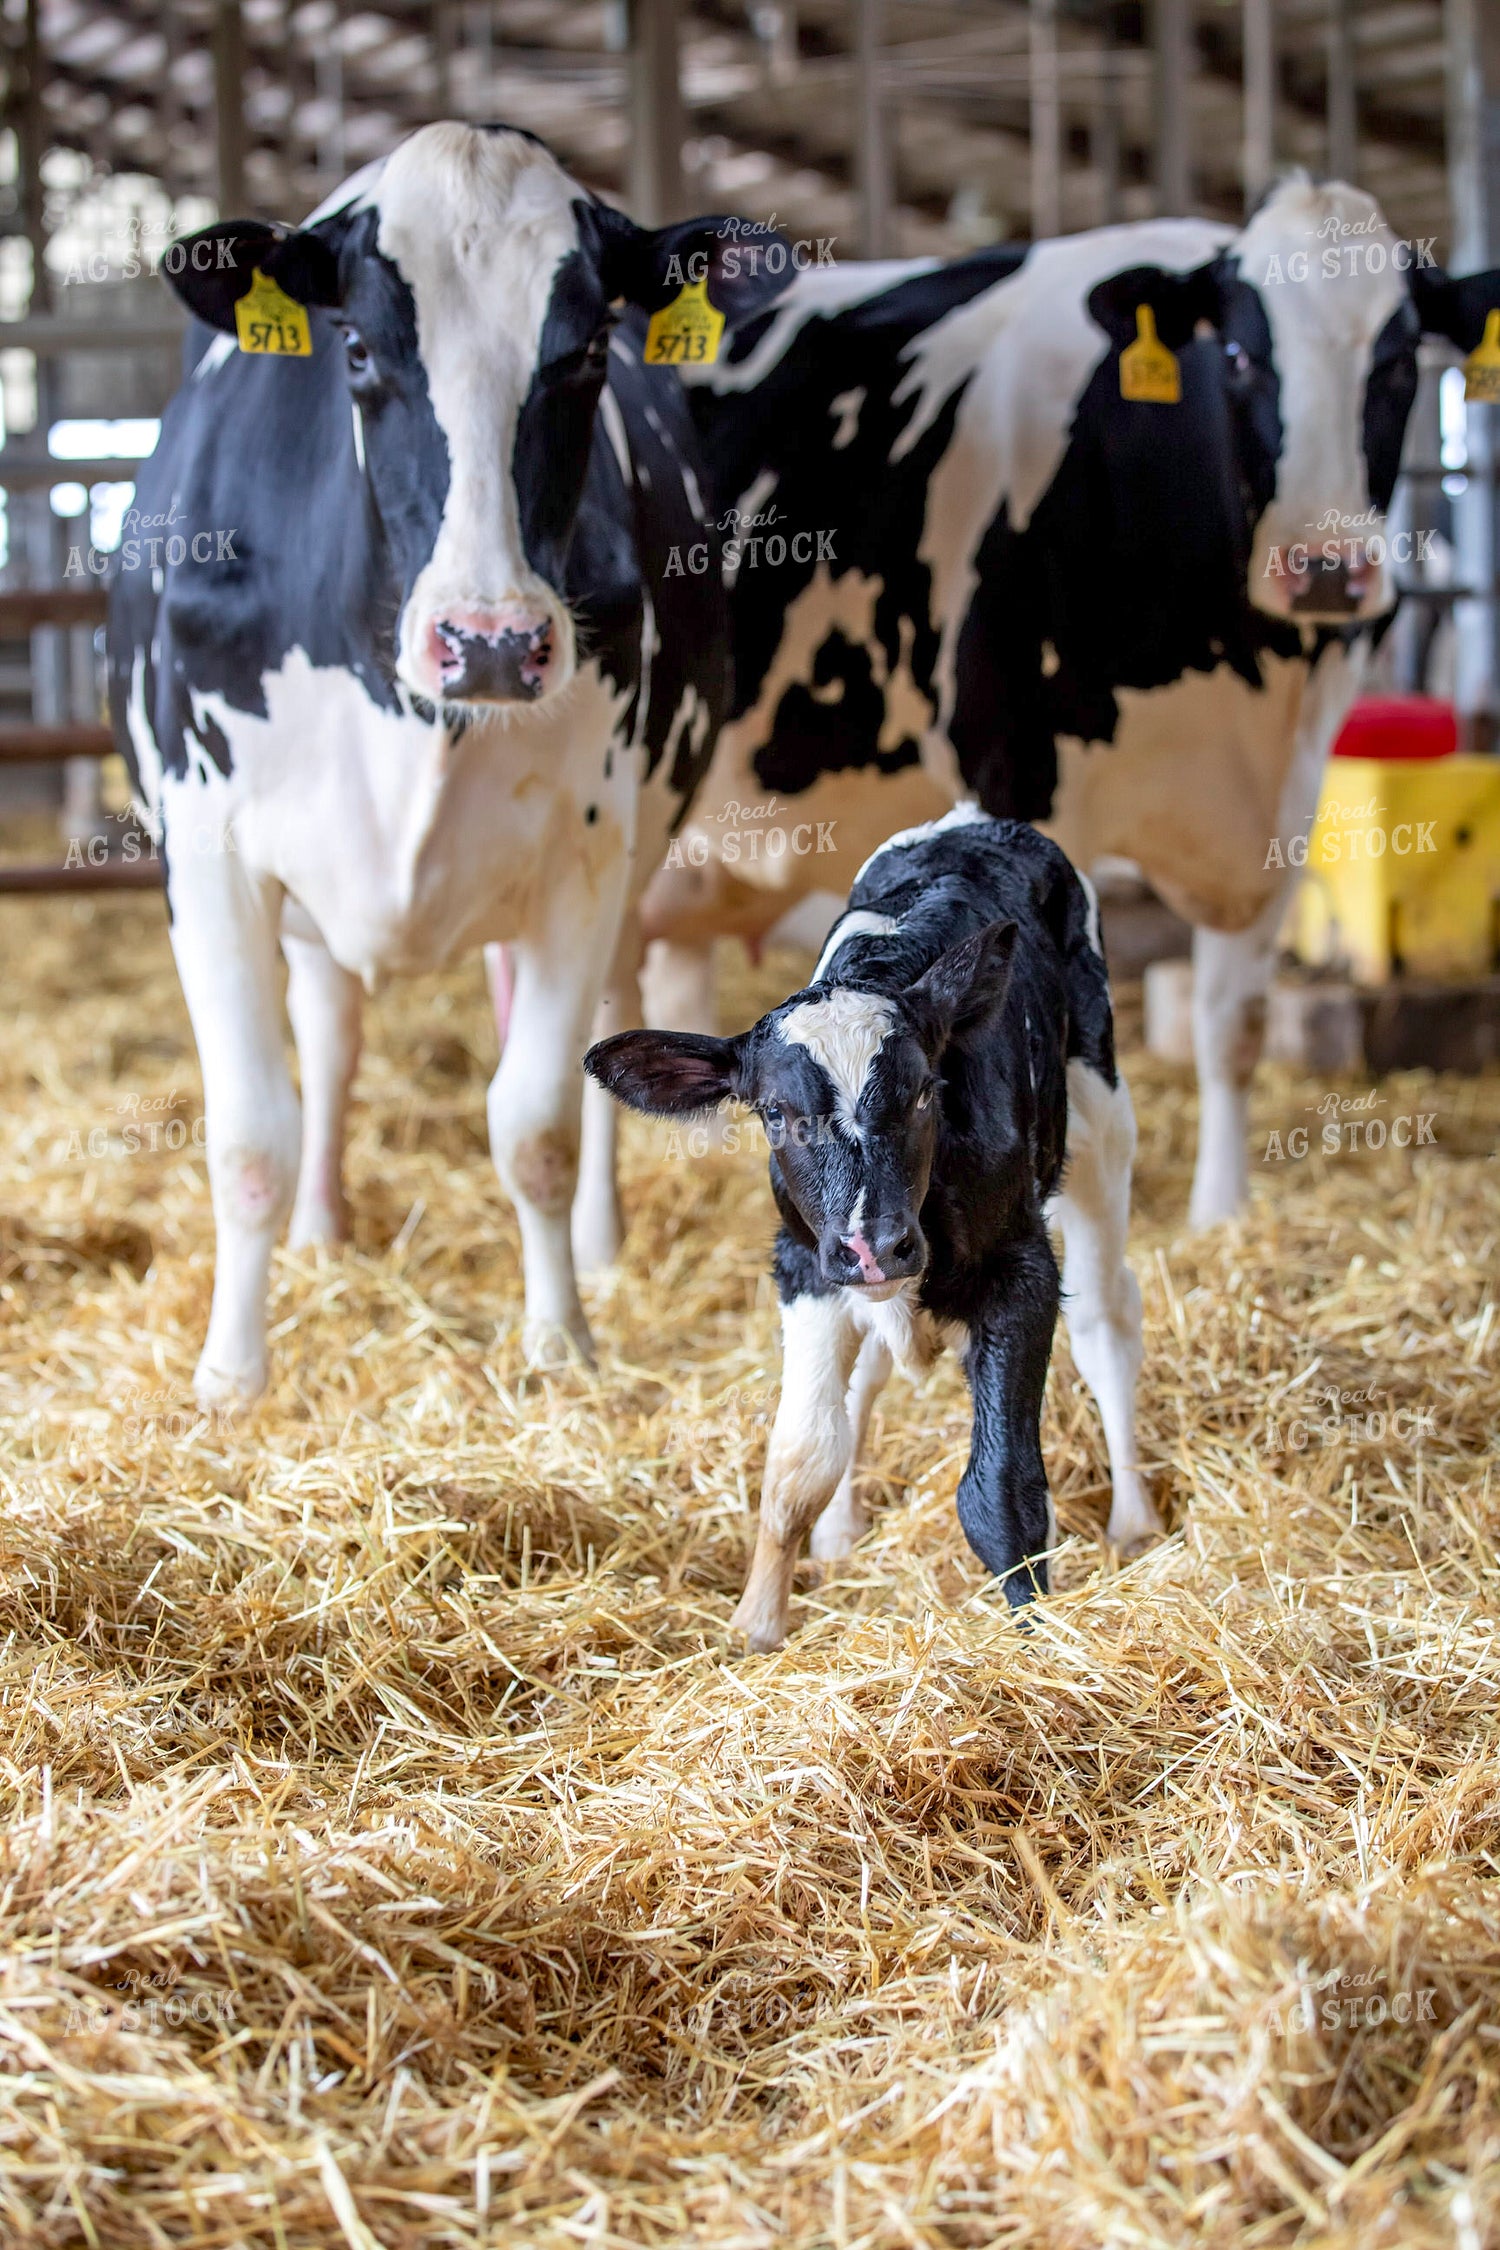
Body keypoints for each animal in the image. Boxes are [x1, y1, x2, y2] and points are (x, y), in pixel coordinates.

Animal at [106, 122, 784, 1402]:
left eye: (587, 351)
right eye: (358, 347)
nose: (491, 641)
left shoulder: (583, 856)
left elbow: (537, 1124)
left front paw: (561, 1341)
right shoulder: (209, 850)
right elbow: (251, 1133)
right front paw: (231, 1377)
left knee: (598, 1036)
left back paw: (598, 1249)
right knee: (331, 1037)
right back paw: (322, 1236)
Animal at [587, 805, 1155, 1651]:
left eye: (923, 1091)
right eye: (775, 1113)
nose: (873, 1244)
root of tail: (978, 820)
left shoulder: (1020, 1268)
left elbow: (1001, 1490)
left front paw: (1035, 1636)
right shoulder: (806, 1267)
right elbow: (799, 1462)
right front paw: (756, 1625)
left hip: (1101, 1114)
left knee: (1109, 1322)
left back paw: (1135, 1522)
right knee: (864, 1384)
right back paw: (839, 1535)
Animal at [624, 177, 1500, 1234]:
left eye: (1400, 360)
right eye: (1240, 358)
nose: (1326, 569)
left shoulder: (1280, 813)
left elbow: (1233, 1029)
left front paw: (1222, 1214)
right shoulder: (1017, 766)